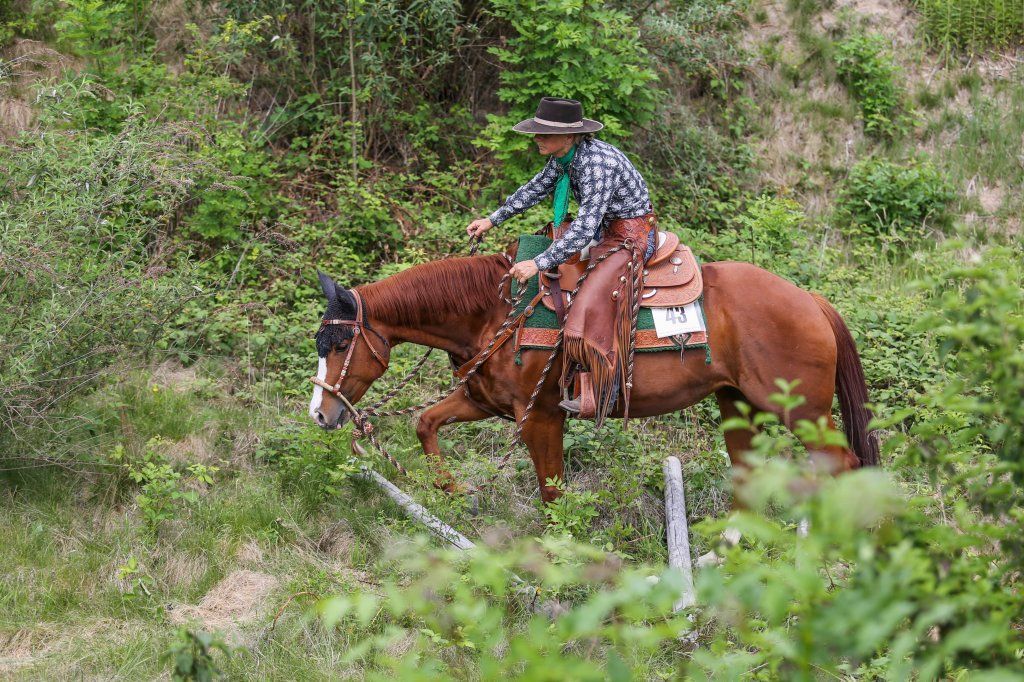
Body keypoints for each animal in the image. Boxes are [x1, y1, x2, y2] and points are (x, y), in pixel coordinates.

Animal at [308, 243, 878, 503]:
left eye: (339, 342)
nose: (319, 412)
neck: (496, 315)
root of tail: (808, 298)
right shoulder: (483, 400)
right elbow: (424, 422)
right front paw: (449, 490)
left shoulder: (540, 417)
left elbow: (552, 492)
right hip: (737, 403)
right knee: (748, 474)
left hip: (803, 412)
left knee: (843, 466)